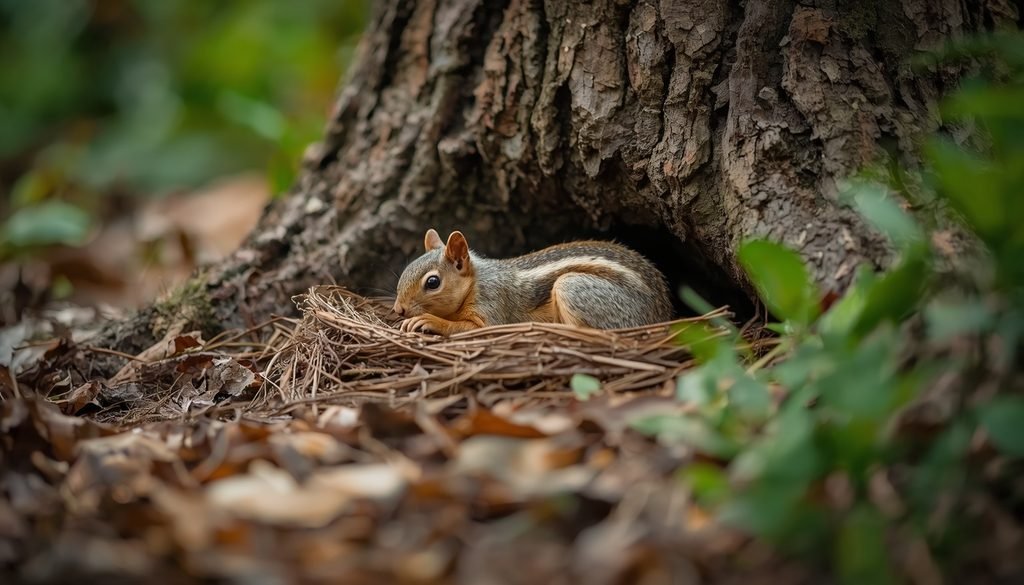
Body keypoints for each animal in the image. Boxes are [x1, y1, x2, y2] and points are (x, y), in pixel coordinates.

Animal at [392, 229, 673, 336]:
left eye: (432, 282)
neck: (476, 281)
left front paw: (428, 321)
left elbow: (473, 328)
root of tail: (661, 315)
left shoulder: (493, 304)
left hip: (573, 287)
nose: (398, 309)